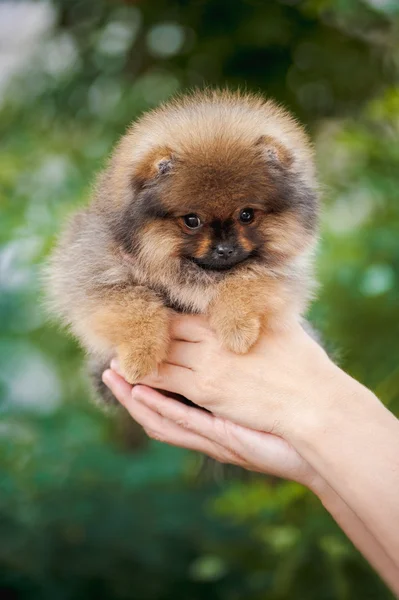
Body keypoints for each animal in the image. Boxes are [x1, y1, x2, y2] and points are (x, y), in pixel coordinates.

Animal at [47, 90, 320, 404]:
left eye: (246, 214)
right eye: (192, 220)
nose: (225, 249)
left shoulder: (280, 272)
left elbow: (248, 278)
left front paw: (237, 328)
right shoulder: (96, 271)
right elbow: (132, 304)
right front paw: (139, 357)